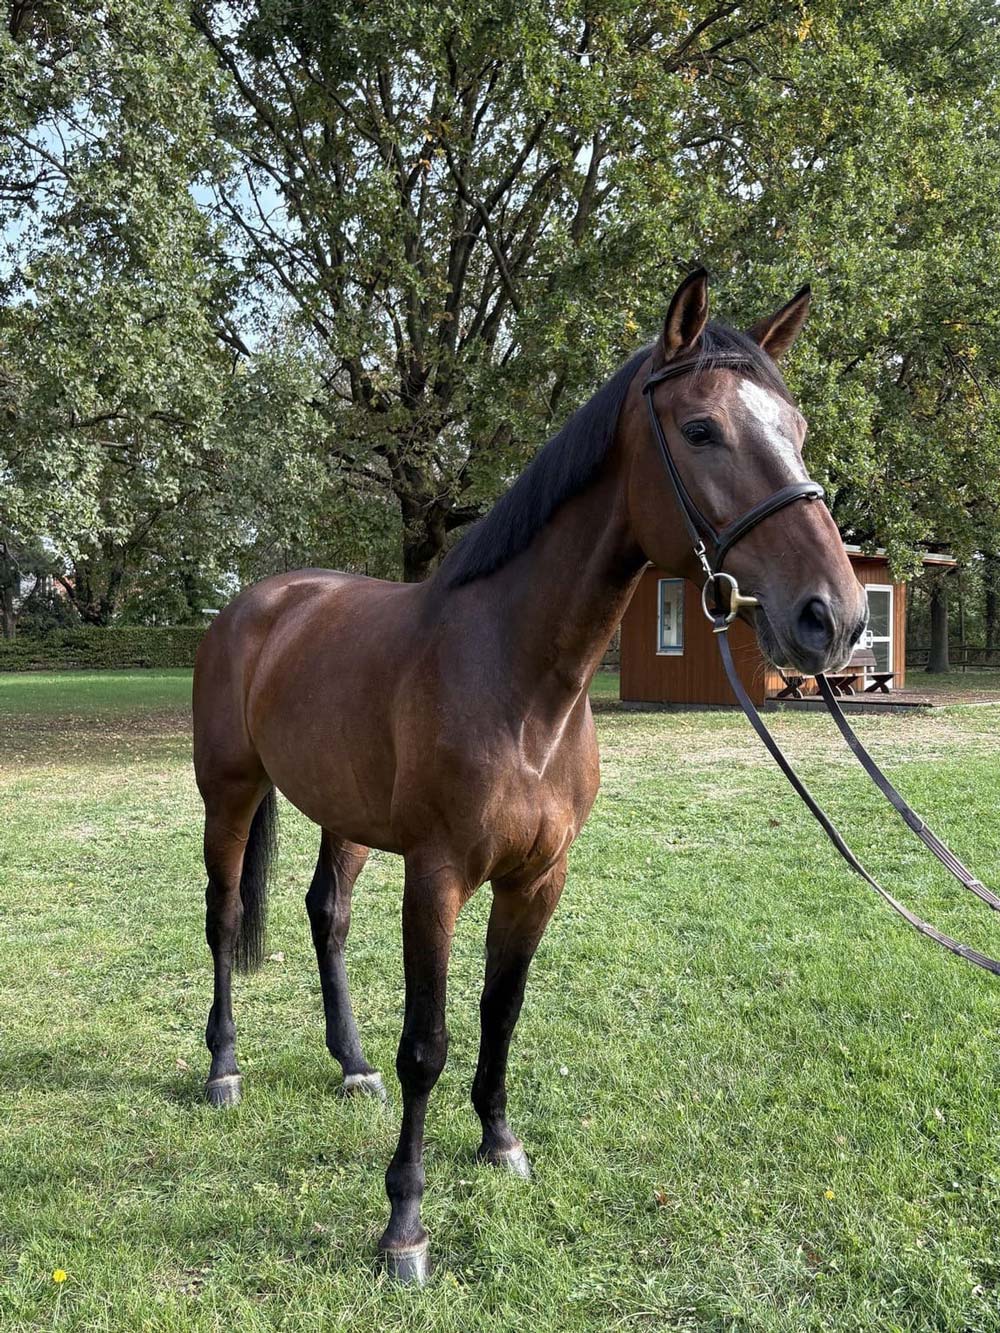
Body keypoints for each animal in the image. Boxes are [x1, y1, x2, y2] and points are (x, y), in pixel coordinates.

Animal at [192, 269, 867, 1283]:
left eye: (798, 427)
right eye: (701, 429)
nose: (835, 616)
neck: (517, 677)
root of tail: (257, 602)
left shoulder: (540, 877)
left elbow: (501, 1010)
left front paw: (499, 1141)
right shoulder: (437, 876)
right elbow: (427, 1044)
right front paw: (405, 1224)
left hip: (343, 814)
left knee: (326, 914)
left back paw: (348, 1062)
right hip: (228, 794)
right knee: (226, 917)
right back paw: (224, 1067)